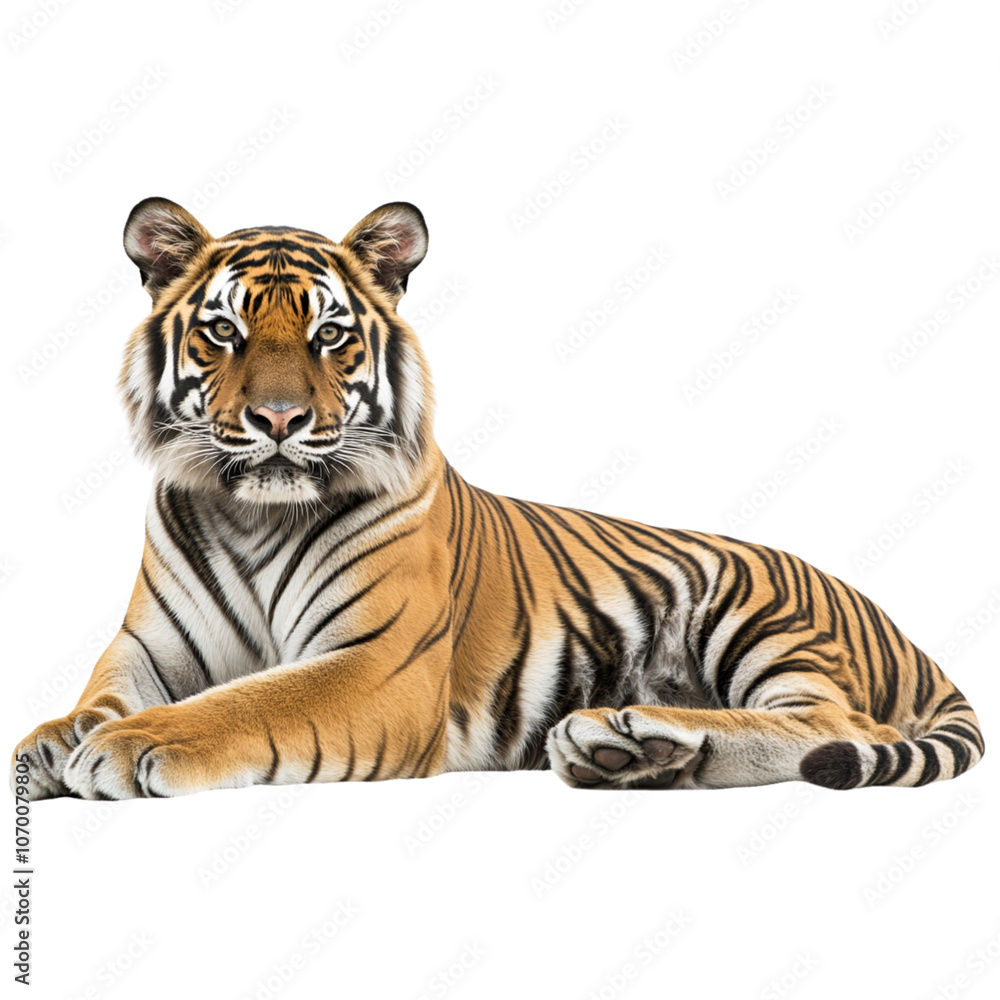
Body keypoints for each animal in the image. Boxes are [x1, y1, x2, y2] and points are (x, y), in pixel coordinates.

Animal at [10, 197, 984, 801]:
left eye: (329, 336)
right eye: (223, 331)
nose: (279, 419)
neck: (252, 512)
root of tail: (894, 624)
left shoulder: (377, 662)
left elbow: (246, 702)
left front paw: (135, 746)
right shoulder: (147, 649)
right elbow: (95, 697)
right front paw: (53, 742)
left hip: (755, 613)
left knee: (829, 720)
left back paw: (629, 729)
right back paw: (625, 749)